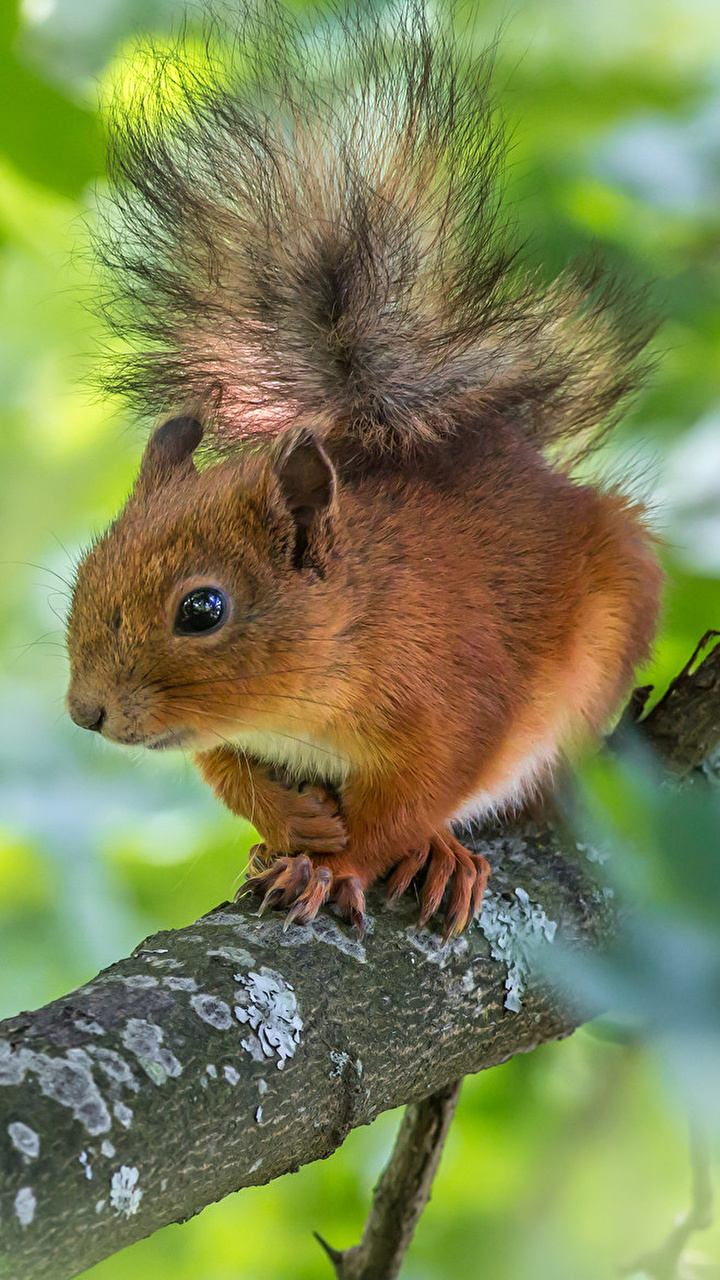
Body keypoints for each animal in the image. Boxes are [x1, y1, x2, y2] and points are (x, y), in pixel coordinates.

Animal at [64, 0, 661, 942]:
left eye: (202, 610)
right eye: (86, 571)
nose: (85, 711)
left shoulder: (455, 697)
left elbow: (413, 800)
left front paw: (342, 863)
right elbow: (226, 772)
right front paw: (285, 824)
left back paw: (446, 856)